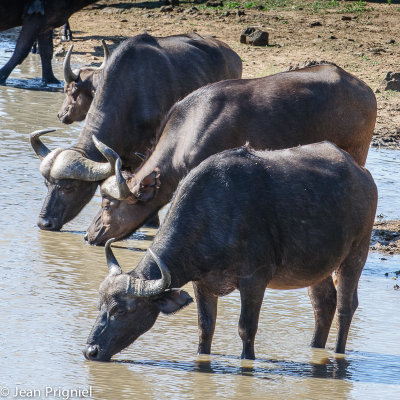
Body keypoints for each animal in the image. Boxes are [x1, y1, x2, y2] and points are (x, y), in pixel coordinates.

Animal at [83, 142, 376, 360]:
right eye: (100, 306)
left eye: (122, 311)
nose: (90, 351)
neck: (214, 213)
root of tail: (362, 173)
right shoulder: (202, 284)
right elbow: (205, 328)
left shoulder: (254, 281)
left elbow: (246, 329)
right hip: (317, 267)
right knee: (324, 304)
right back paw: (315, 348)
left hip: (356, 253)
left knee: (346, 306)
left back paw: (337, 354)